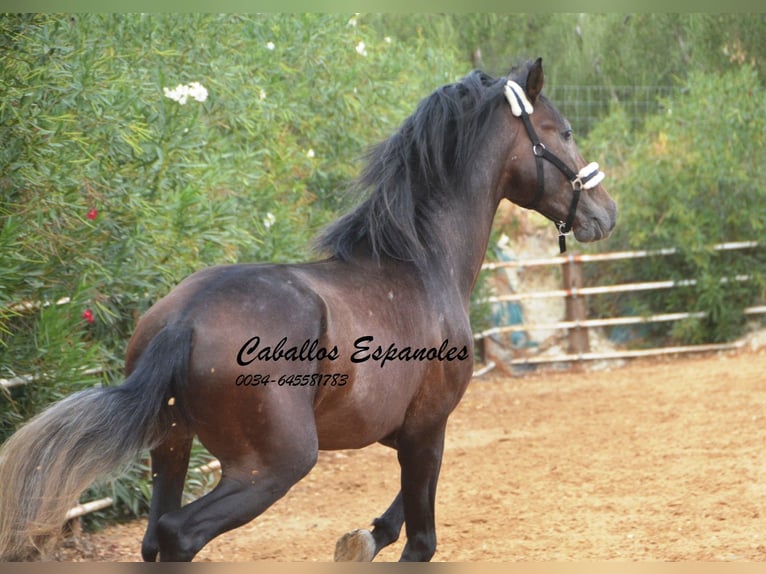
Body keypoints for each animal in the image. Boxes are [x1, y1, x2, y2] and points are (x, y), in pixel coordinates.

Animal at [0, 57, 616, 564]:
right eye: (565, 132)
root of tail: (184, 320)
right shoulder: (427, 426)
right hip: (272, 465)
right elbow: (421, 538)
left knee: (155, 536)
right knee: (179, 534)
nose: (606, 213)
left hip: (172, 448)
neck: (422, 265)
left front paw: (362, 538)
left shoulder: (405, 431)